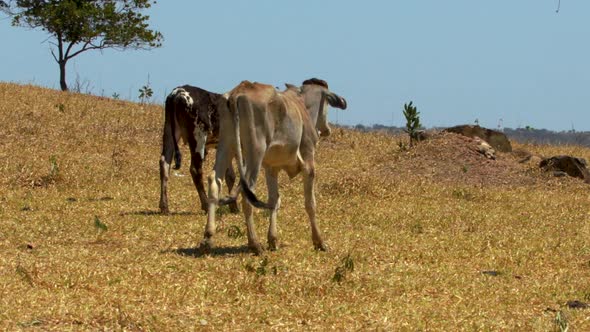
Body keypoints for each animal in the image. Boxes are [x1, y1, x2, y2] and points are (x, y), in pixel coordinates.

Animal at [200, 78, 346, 254]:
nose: (326, 129)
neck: (303, 107)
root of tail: (237, 93)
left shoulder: (271, 168)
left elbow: (274, 200)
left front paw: (273, 239)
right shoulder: (308, 163)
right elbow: (310, 203)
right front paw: (319, 241)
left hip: (226, 145)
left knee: (215, 181)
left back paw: (208, 238)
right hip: (255, 151)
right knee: (247, 194)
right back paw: (254, 244)